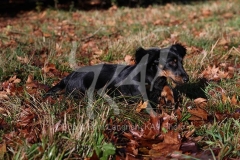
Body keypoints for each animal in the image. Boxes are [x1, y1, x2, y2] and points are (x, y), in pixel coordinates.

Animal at [44, 43, 188, 110]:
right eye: (171, 62)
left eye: (182, 62)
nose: (187, 79)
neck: (152, 77)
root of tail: (69, 76)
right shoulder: (136, 95)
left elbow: (167, 87)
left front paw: (170, 99)